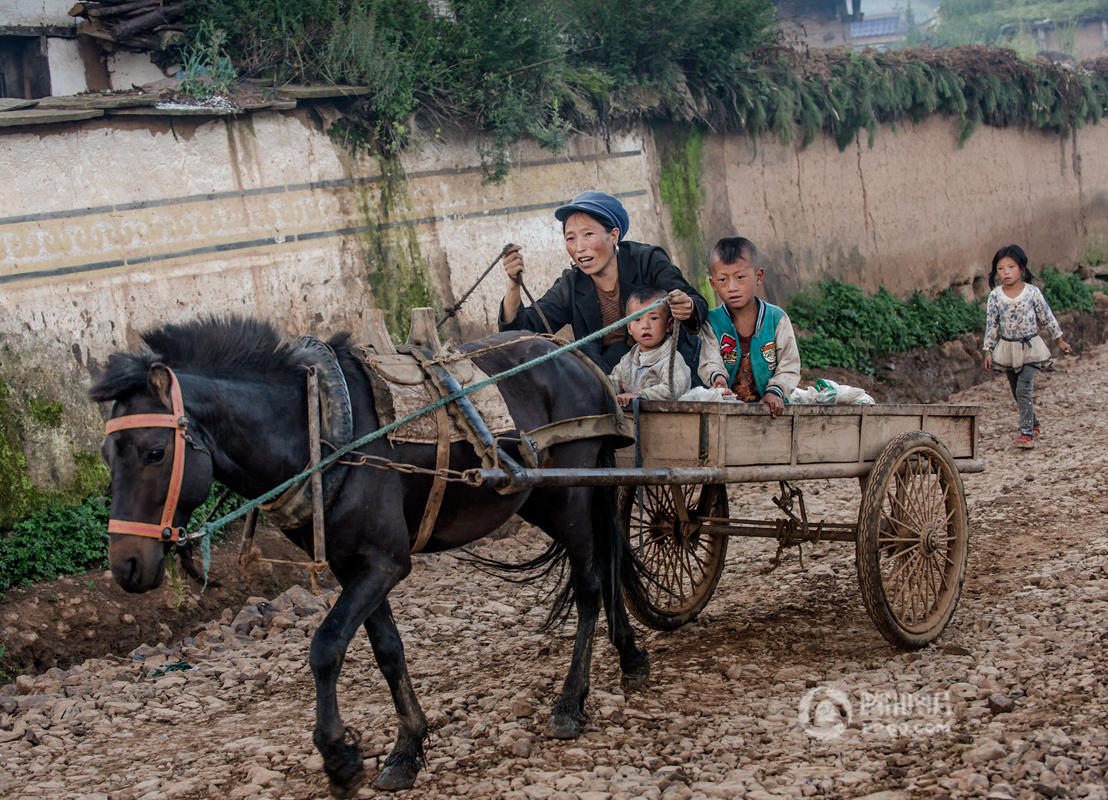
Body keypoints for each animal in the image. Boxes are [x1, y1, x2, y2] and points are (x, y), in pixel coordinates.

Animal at [95, 314, 651, 793]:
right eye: (106, 455)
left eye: (154, 452)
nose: (126, 566)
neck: (317, 428)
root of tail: (569, 351)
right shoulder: (355, 567)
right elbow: (386, 650)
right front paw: (407, 748)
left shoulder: (384, 563)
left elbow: (325, 647)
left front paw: (339, 757)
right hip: (541, 498)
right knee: (608, 561)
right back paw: (629, 654)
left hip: (570, 493)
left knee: (590, 583)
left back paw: (571, 702)